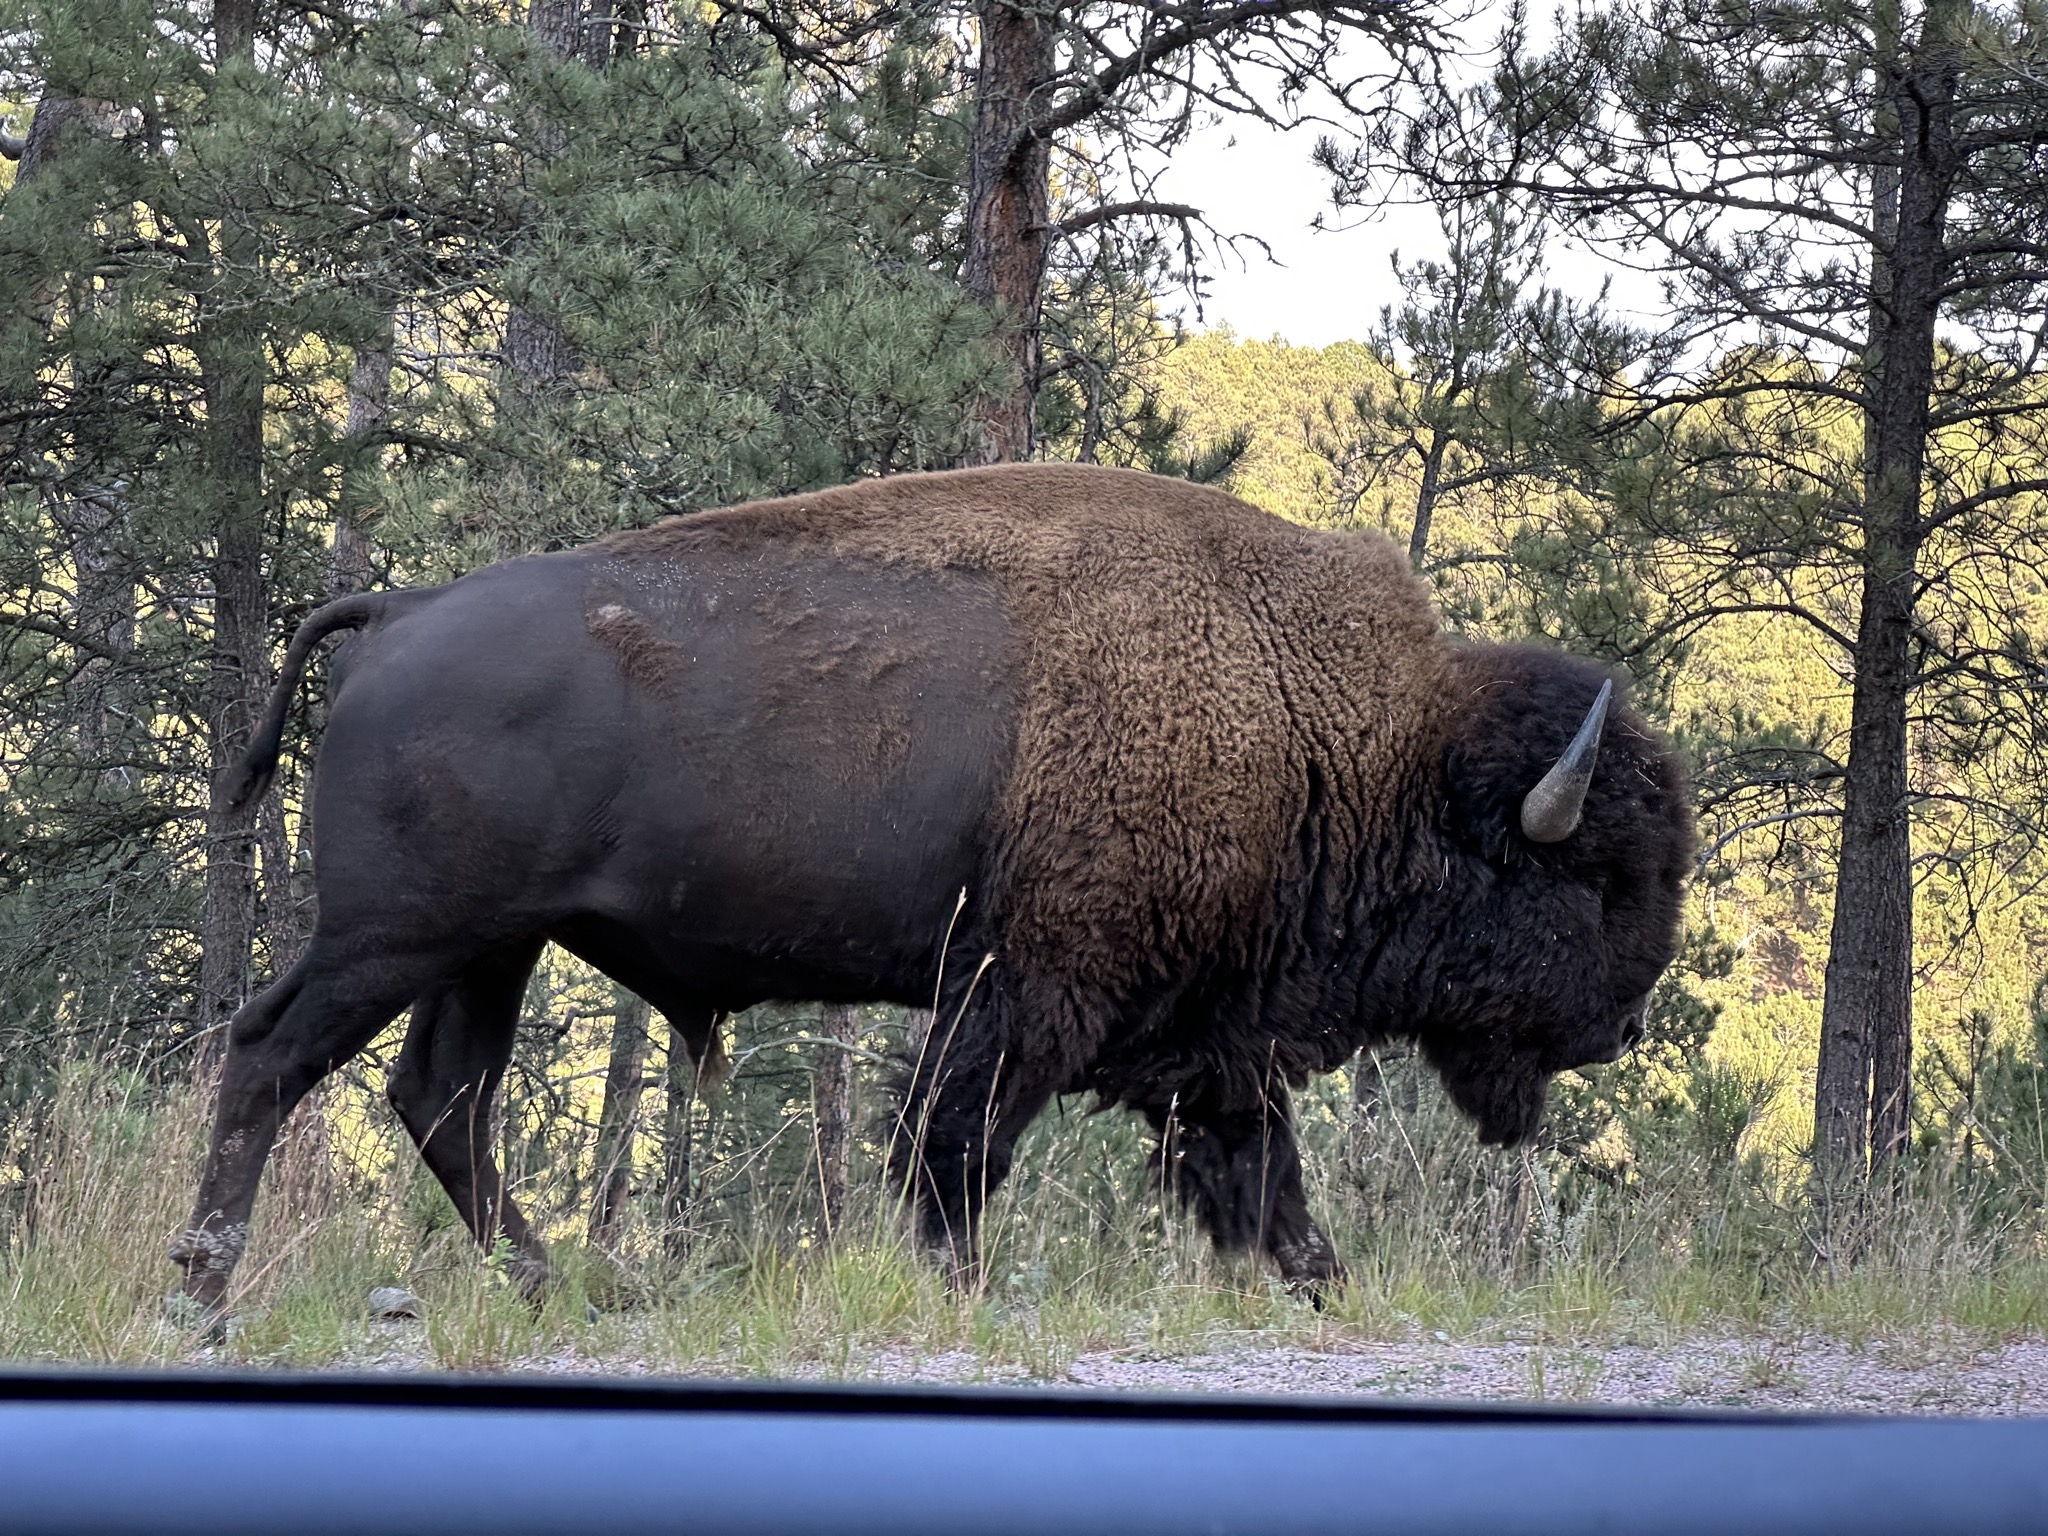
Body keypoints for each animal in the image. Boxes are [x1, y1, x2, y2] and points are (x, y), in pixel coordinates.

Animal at [168, 463, 1692, 1313]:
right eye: (1590, 880)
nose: (1621, 1027)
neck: (1343, 737)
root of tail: (402, 610)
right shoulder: (1030, 990)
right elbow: (958, 1143)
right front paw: (958, 1286)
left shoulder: (1204, 1027)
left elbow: (1256, 1166)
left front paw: (1320, 1282)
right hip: (394, 935)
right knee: (273, 1056)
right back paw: (205, 1289)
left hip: (491, 949)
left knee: (443, 1099)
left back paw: (567, 1294)